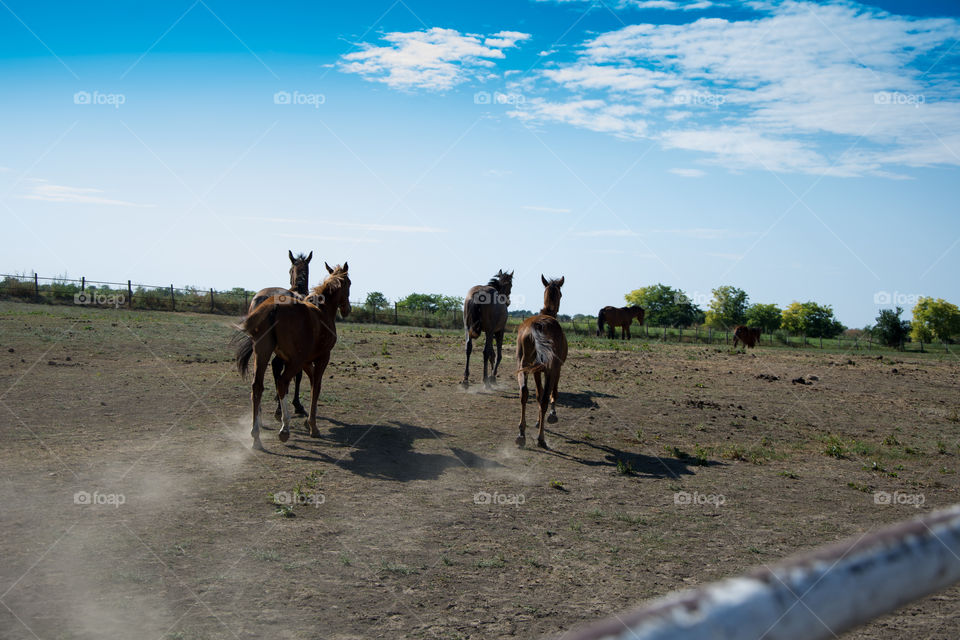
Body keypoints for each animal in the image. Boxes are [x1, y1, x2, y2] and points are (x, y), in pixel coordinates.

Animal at [233, 262, 350, 450]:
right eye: (349, 283)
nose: (347, 309)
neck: (322, 310)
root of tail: (274, 306)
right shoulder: (322, 357)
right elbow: (316, 387)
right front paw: (312, 426)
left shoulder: (305, 362)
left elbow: (311, 382)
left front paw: (307, 421)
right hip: (293, 361)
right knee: (282, 382)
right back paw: (284, 428)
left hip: (263, 353)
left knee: (257, 386)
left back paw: (256, 434)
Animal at [515, 275, 567, 449]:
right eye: (561, 294)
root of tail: (537, 326)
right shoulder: (556, 369)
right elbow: (551, 393)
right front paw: (552, 415)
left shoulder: (536, 370)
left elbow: (538, 394)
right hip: (551, 368)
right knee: (544, 399)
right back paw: (541, 438)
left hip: (524, 365)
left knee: (523, 393)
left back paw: (521, 433)